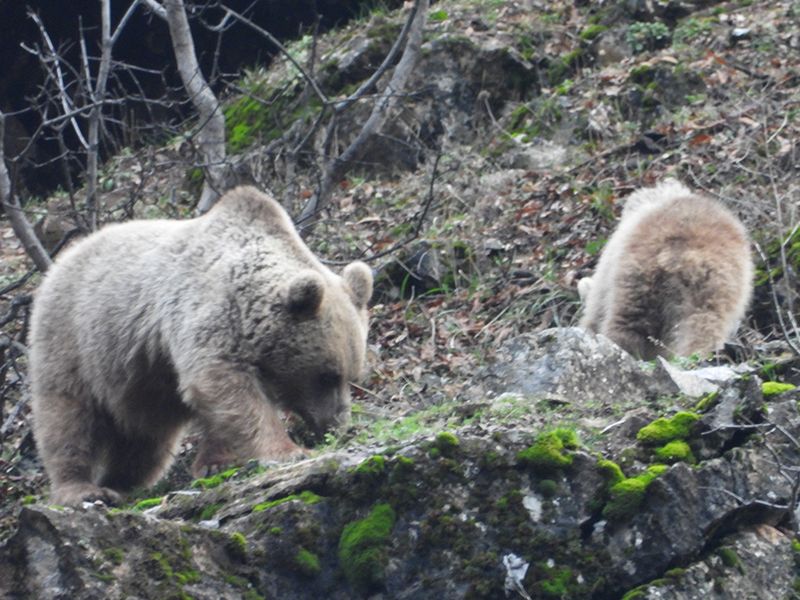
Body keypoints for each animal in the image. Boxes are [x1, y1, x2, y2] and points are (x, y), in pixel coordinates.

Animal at [28, 188, 372, 506]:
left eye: (352, 377)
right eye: (327, 376)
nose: (337, 425)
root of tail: (60, 261)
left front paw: (216, 461)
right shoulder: (206, 314)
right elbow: (225, 386)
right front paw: (290, 450)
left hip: (140, 382)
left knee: (145, 438)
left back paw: (123, 482)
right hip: (75, 339)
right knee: (68, 418)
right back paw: (83, 489)